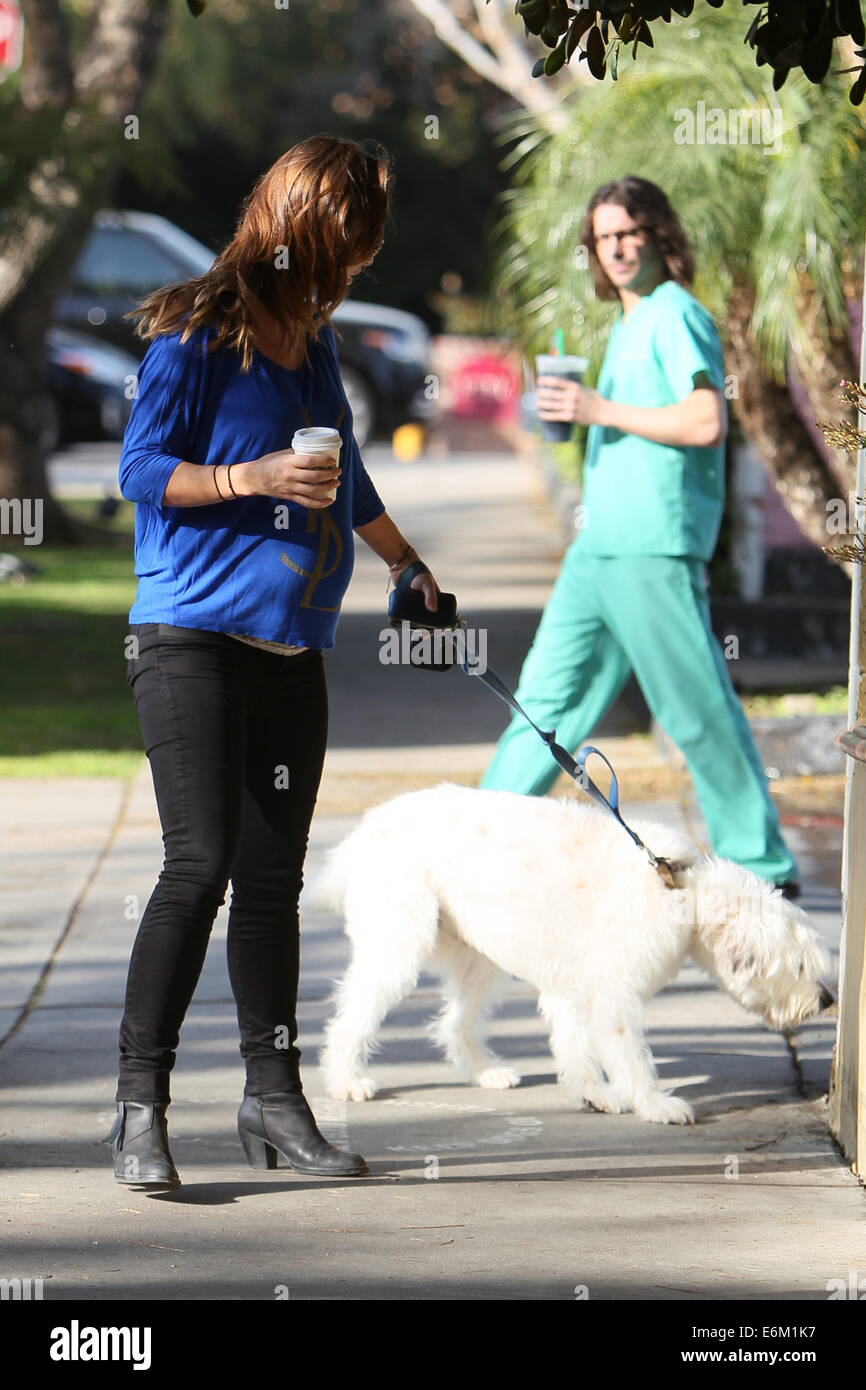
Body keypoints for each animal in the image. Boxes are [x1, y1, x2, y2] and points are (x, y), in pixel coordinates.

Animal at [316, 789, 834, 1123]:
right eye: (799, 966)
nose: (828, 1000)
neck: (681, 890)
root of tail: (364, 832)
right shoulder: (613, 996)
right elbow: (629, 1054)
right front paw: (654, 1104)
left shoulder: (575, 990)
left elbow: (574, 1042)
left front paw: (591, 1094)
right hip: (398, 946)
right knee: (351, 1018)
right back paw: (345, 1080)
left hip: (480, 959)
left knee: (454, 1023)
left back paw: (484, 1072)